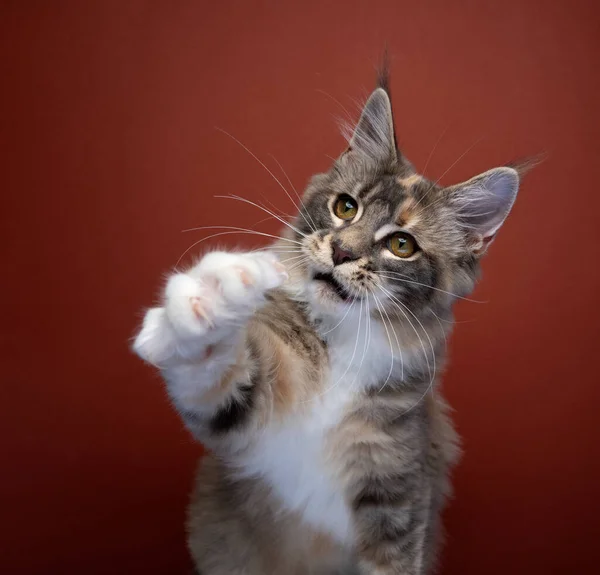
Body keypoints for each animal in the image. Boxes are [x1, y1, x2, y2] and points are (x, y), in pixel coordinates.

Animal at [132, 68, 520, 575]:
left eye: (401, 245)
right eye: (345, 208)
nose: (341, 252)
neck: (348, 341)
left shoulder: (398, 495)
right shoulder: (254, 421)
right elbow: (218, 371)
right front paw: (214, 293)